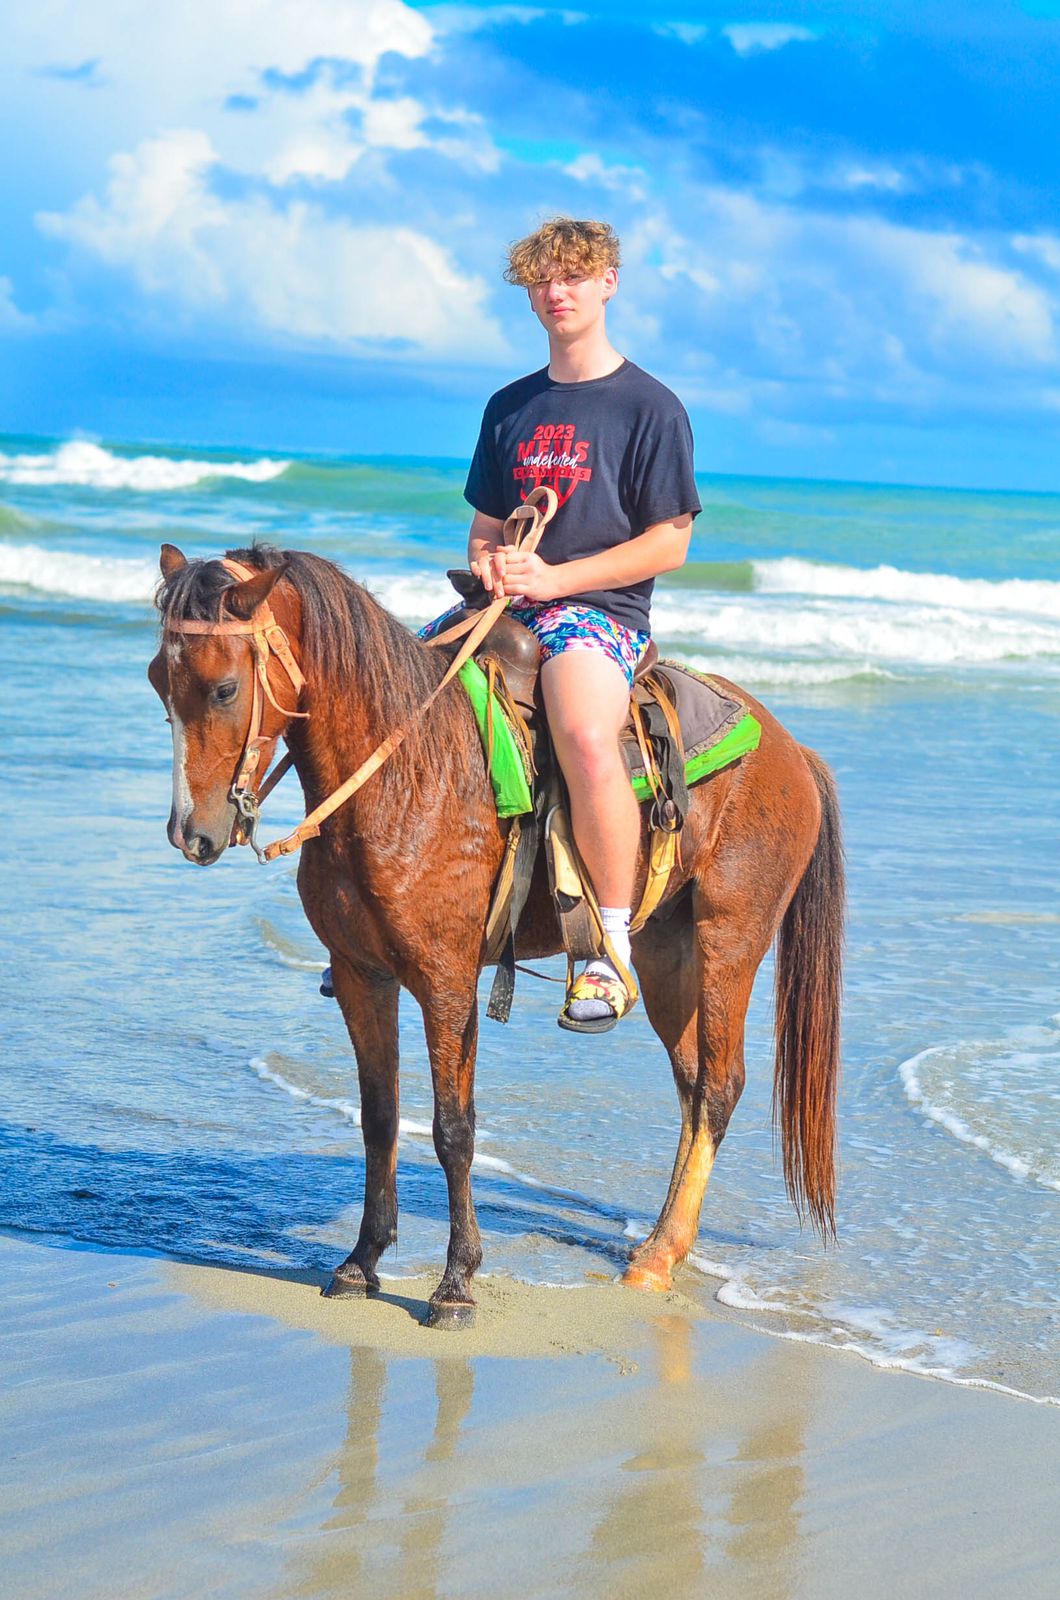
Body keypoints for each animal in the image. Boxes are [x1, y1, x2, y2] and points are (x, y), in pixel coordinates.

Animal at [149, 542, 843, 1327]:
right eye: (157, 682)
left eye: (225, 689)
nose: (191, 835)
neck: (405, 774)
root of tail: (793, 750)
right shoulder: (361, 973)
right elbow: (379, 1117)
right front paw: (362, 1260)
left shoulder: (447, 980)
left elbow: (454, 1129)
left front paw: (456, 1282)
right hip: (669, 954)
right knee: (694, 1083)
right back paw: (664, 1242)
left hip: (730, 940)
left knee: (721, 1086)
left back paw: (659, 1255)